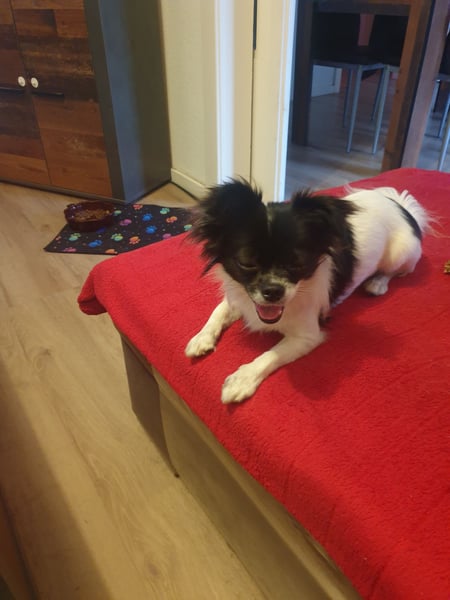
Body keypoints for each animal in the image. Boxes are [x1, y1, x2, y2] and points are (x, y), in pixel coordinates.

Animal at [185, 180, 430, 404]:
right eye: (247, 263)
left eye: (298, 263)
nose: (273, 290)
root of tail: (402, 207)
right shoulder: (240, 298)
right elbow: (218, 311)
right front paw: (201, 337)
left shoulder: (307, 337)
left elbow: (271, 355)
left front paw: (242, 379)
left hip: (400, 253)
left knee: (398, 271)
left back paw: (378, 282)